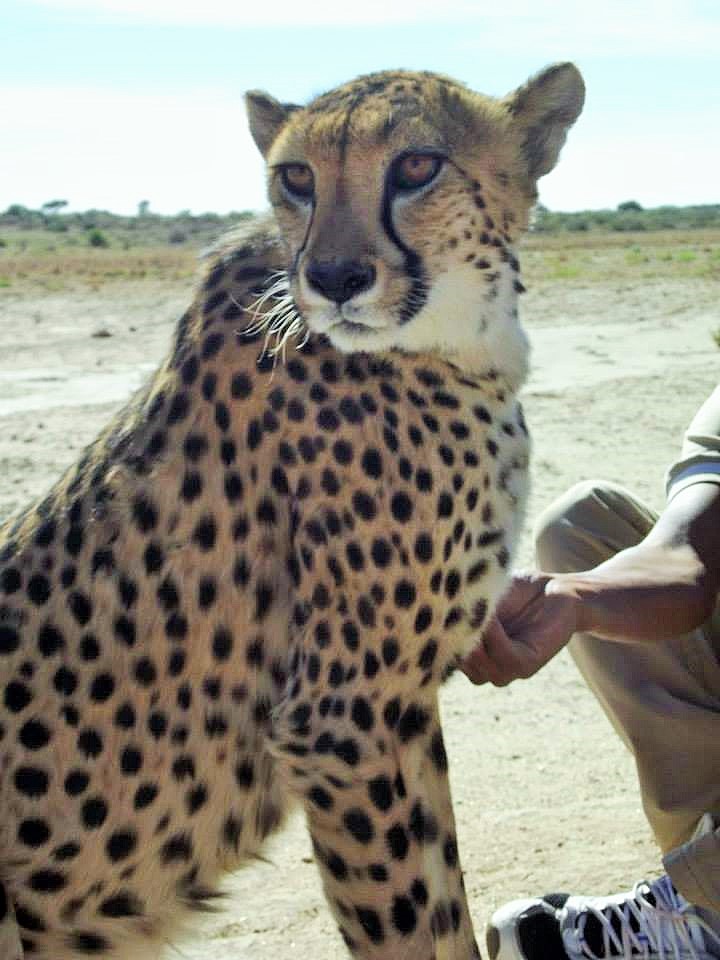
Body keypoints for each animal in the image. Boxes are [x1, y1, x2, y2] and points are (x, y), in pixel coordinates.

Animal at [0, 61, 583, 959]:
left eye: (418, 166)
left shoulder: (397, 712)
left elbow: (444, 903)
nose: (335, 279)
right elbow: (411, 925)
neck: (457, 339)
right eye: (296, 178)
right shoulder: (339, 722)